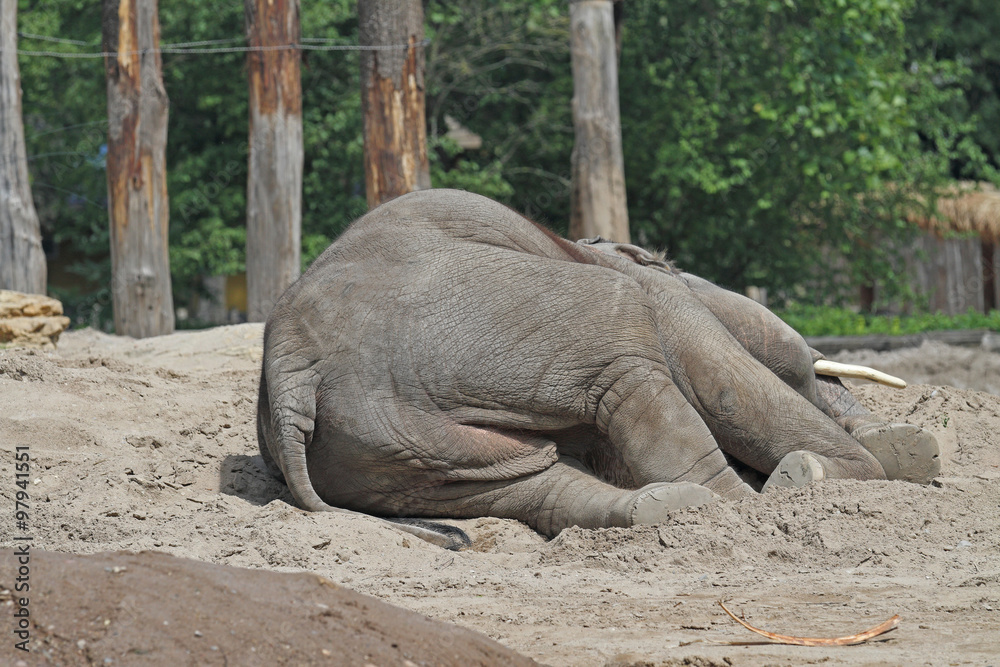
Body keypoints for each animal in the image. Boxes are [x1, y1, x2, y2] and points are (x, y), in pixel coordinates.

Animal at [257, 189, 939, 549]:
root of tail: (293, 374)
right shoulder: (668, 300)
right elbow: (722, 378)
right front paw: (853, 466)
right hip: (536, 324)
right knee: (629, 377)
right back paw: (751, 503)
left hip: (384, 445)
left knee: (526, 481)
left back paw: (667, 510)